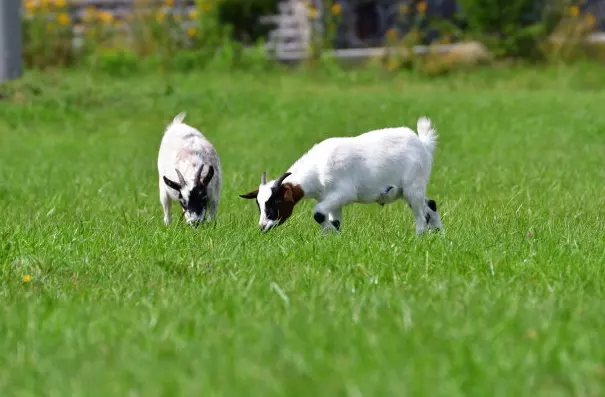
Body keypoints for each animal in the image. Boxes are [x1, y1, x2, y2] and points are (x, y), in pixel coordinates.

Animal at [238, 116, 442, 234]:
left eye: (276, 202)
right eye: (259, 205)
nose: (262, 227)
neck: (318, 168)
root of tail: (422, 143)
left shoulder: (343, 193)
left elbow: (318, 214)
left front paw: (329, 234)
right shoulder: (332, 200)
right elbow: (334, 221)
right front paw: (335, 238)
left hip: (413, 185)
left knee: (421, 214)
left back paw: (419, 237)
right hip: (407, 190)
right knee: (430, 204)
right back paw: (439, 234)